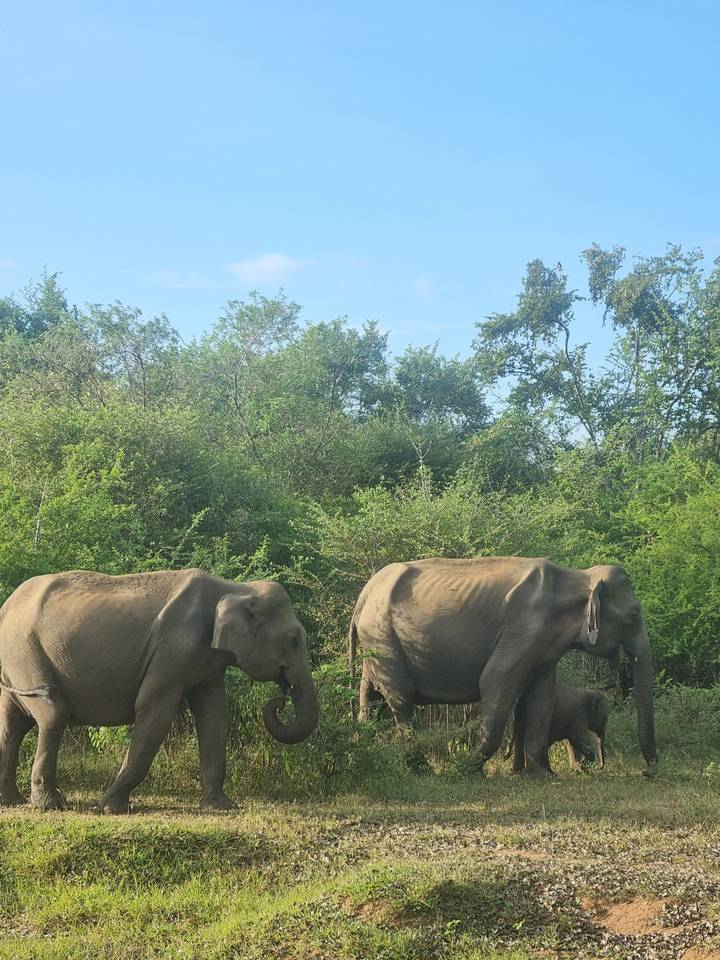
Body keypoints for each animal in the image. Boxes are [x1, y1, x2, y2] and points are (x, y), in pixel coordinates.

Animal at [0, 568, 318, 813]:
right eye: (293, 640)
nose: (280, 700)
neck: (236, 588)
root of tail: (6, 605)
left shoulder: (206, 662)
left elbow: (214, 714)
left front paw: (222, 806)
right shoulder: (173, 649)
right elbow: (154, 710)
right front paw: (109, 808)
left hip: (15, 658)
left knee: (12, 724)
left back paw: (12, 801)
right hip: (24, 652)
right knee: (52, 714)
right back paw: (49, 804)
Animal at [349, 557, 657, 777]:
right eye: (633, 616)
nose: (649, 771)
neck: (577, 577)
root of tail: (363, 596)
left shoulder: (543, 648)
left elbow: (542, 696)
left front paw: (541, 776)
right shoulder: (522, 629)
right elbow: (495, 681)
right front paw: (467, 771)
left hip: (376, 644)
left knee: (370, 700)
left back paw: (361, 758)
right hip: (382, 638)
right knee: (401, 700)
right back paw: (422, 771)